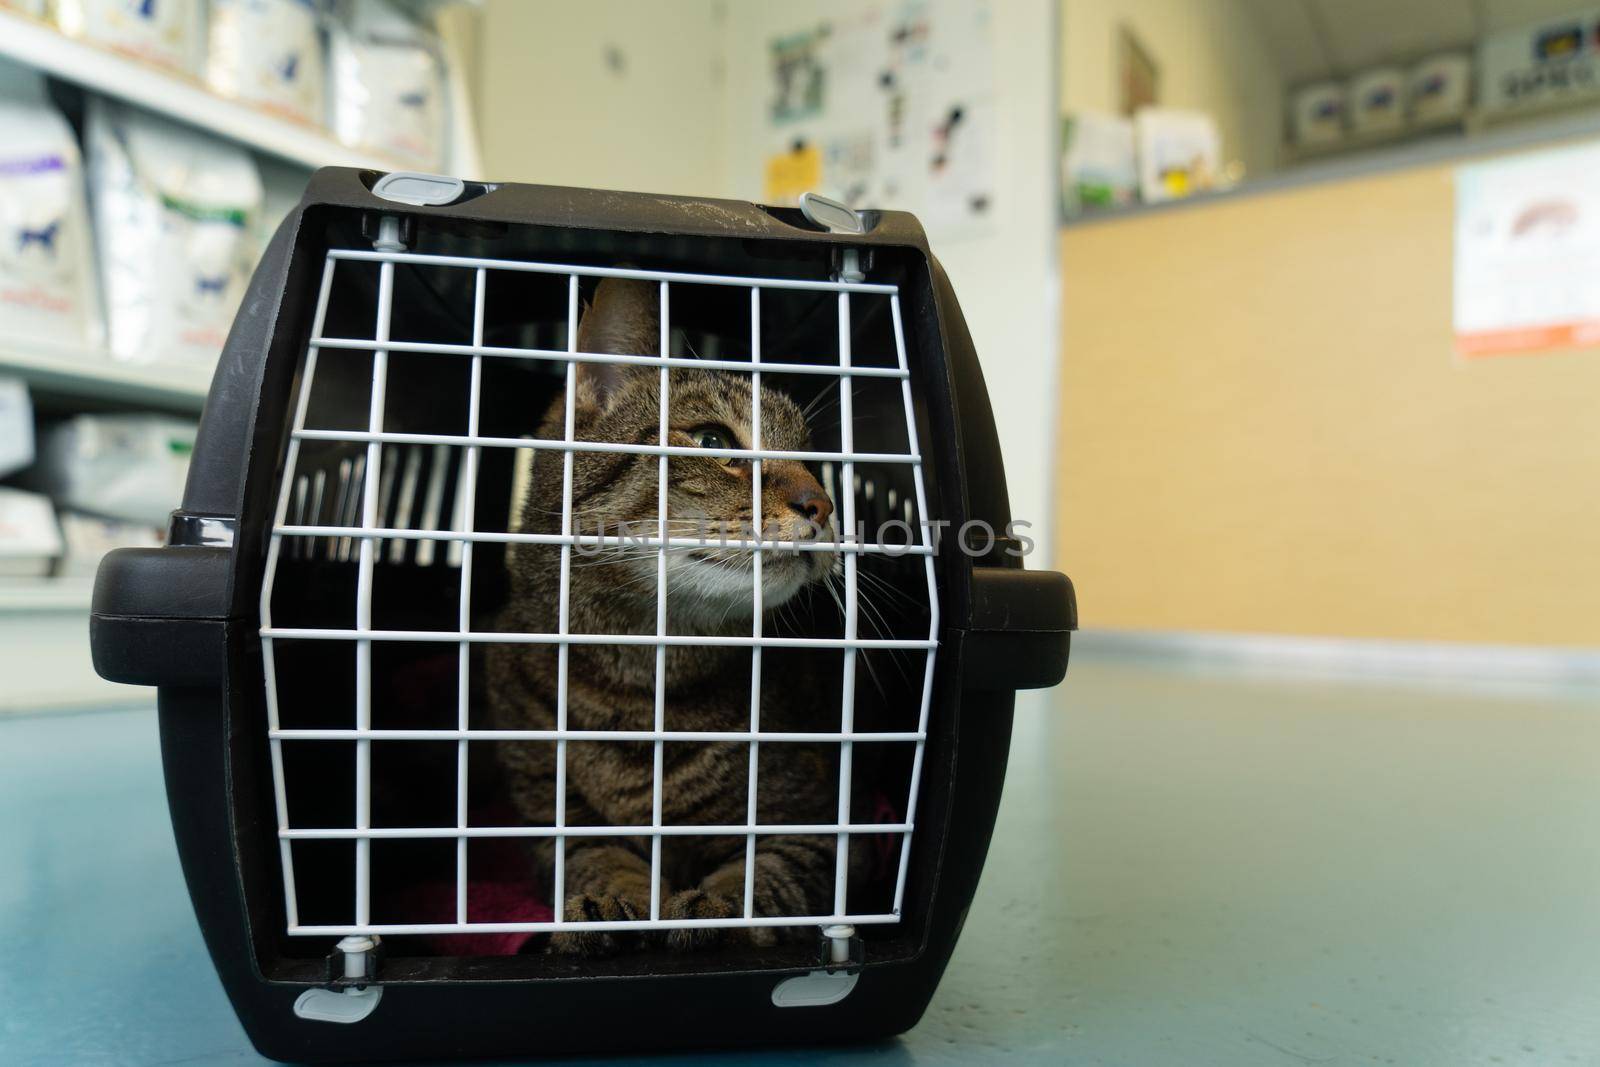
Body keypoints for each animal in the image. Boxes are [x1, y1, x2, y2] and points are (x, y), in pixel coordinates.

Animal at [483, 279, 851, 953]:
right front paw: (610, 904)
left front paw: (712, 910)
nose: (823, 502)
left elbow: (766, 872)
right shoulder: (549, 815)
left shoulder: (827, 825)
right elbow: (594, 855)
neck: (640, 682)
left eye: (815, 462)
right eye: (714, 442)